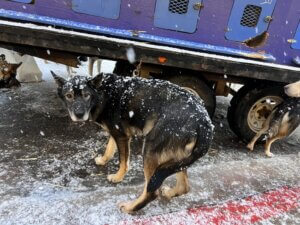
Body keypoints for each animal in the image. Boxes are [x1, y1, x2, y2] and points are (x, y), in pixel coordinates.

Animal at [52, 71, 214, 213]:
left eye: (86, 95)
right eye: (69, 96)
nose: (79, 115)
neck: (103, 93)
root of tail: (204, 122)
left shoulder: (122, 137)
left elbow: (123, 161)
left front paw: (118, 177)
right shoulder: (116, 132)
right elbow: (109, 148)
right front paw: (103, 160)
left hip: (150, 150)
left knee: (151, 191)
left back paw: (131, 207)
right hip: (176, 159)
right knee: (184, 187)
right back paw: (169, 193)